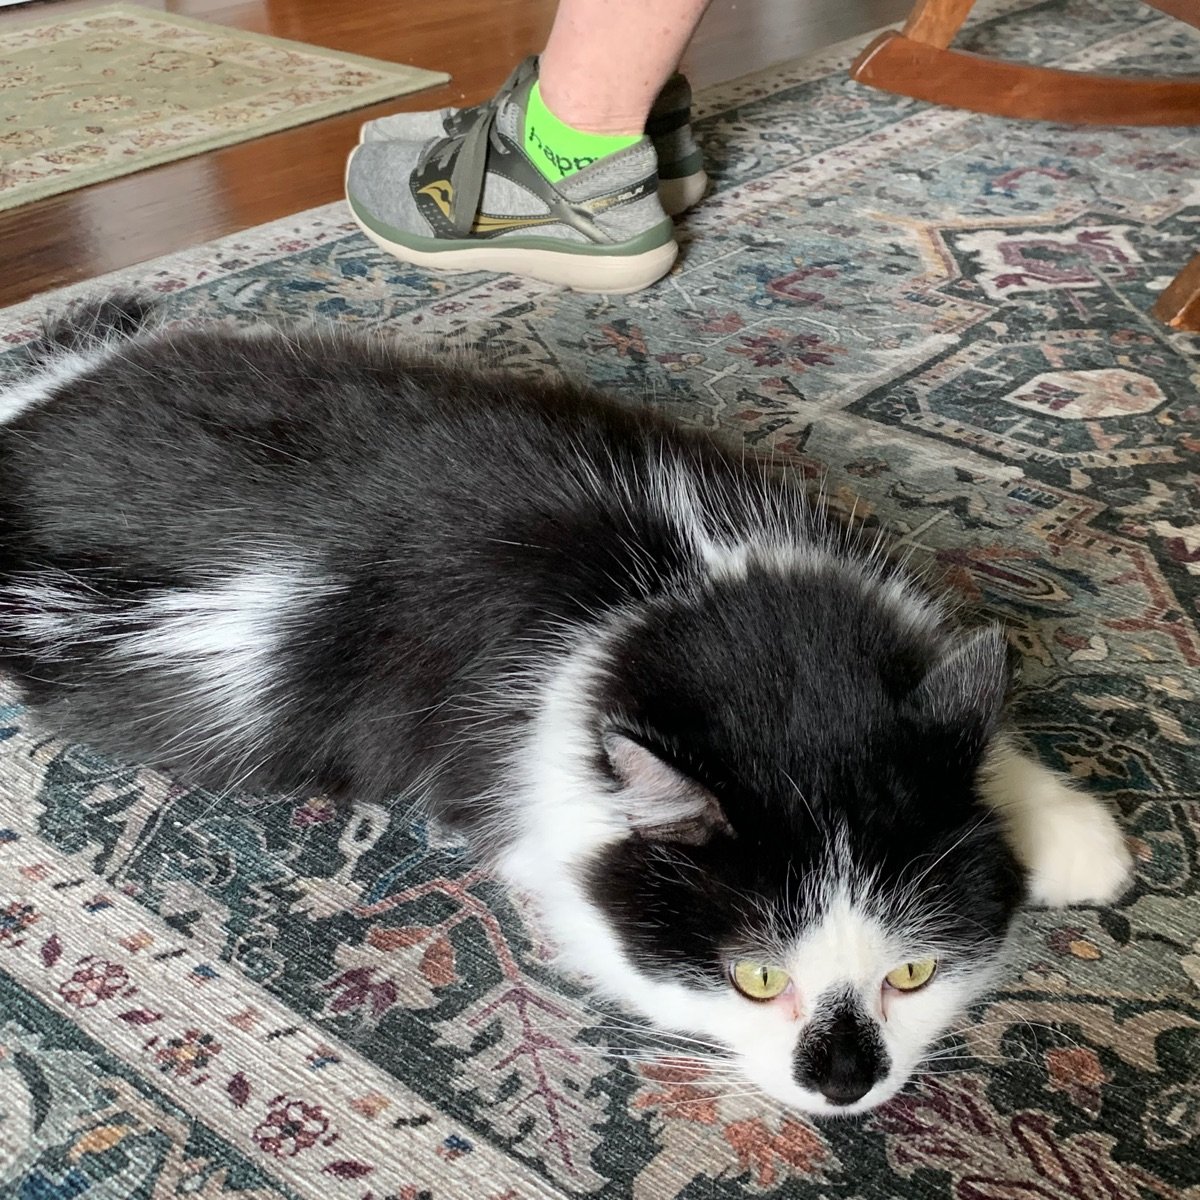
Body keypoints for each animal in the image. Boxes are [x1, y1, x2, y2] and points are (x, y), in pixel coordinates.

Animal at [0, 294, 1131, 1115]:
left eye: (914, 972)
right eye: (757, 980)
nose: (846, 1086)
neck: (677, 585)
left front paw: (1072, 832)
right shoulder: (536, 799)